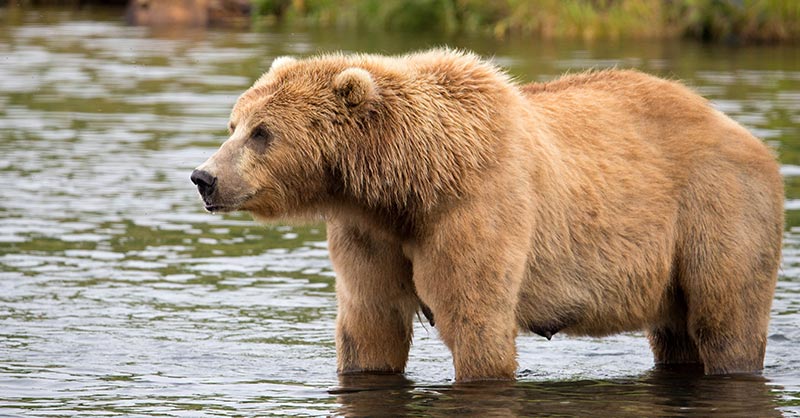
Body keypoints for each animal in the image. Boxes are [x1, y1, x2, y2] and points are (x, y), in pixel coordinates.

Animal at [190, 49, 783, 382]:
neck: (409, 183)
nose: (204, 177)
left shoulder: (479, 205)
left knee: (725, 317)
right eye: (234, 124)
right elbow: (371, 322)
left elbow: (476, 319)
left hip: (715, 208)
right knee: (677, 335)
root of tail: (749, 136)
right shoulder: (368, 232)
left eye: (262, 132)